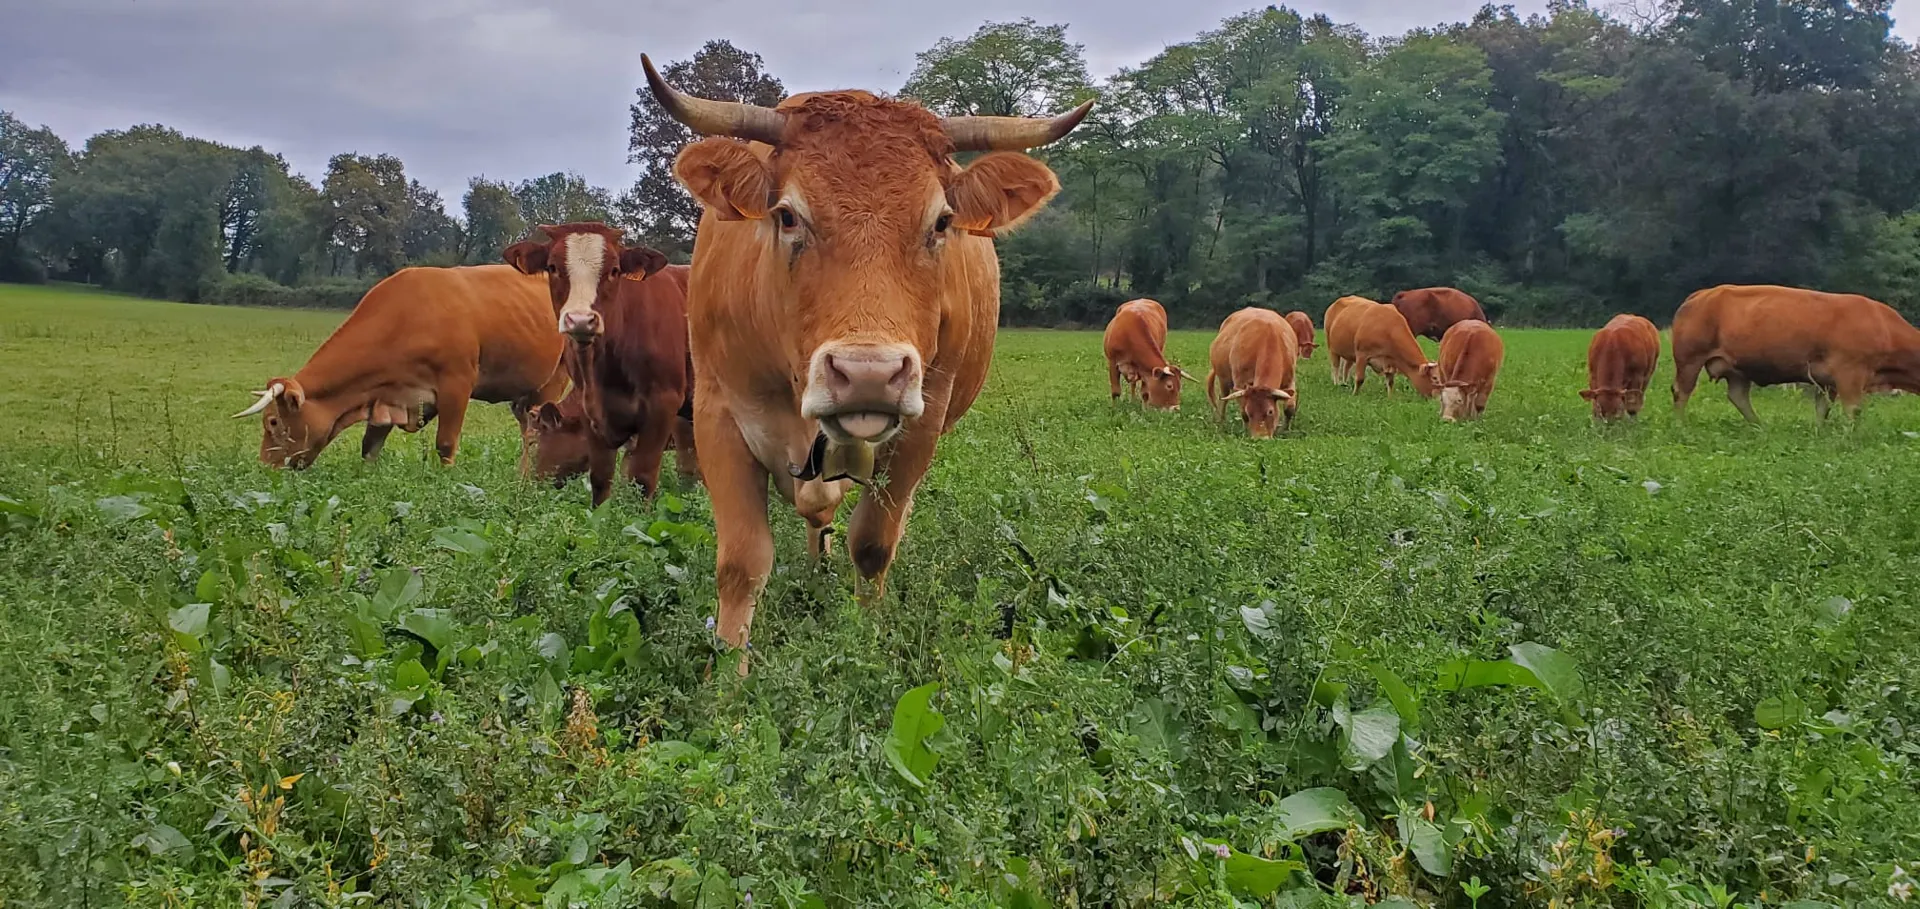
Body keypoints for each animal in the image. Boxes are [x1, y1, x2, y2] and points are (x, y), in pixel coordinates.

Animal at [234, 264, 567, 470]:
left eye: (273, 422)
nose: (265, 467)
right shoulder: (385, 396)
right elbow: (370, 446)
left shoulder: (456, 384)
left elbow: (445, 444)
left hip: (552, 380)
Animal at [502, 225, 692, 506]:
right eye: (552, 267)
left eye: (614, 270)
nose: (581, 320)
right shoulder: (591, 410)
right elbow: (601, 481)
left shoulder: (662, 408)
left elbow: (643, 480)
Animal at [640, 54, 1089, 662]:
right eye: (787, 216)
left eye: (941, 222)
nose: (868, 375)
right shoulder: (717, 414)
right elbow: (741, 563)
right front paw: (729, 674)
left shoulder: (922, 423)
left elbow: (873, 542)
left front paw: (869, 643)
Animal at [1206, 308, 1298, 438]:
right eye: (1249, 413)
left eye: (1270, 411)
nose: (1261, 438)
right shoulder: (1240, 385)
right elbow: (1242, 412)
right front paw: (1246, 430)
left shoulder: (1290, 380)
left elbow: (1289, 409)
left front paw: (1284, 430)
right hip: (1223, 379)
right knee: (1223, 399)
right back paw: (1221, 421)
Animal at [1671, 284, 1920, 422]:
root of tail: (1703, 293)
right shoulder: (1850, 373)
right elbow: (1853, 411)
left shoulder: (1827, 382)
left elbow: (1822, 410)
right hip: (1690, 360)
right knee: (1681, 392)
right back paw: (1681, 426)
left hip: (1738, 369)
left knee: (1738, 396)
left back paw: (1759, 426)